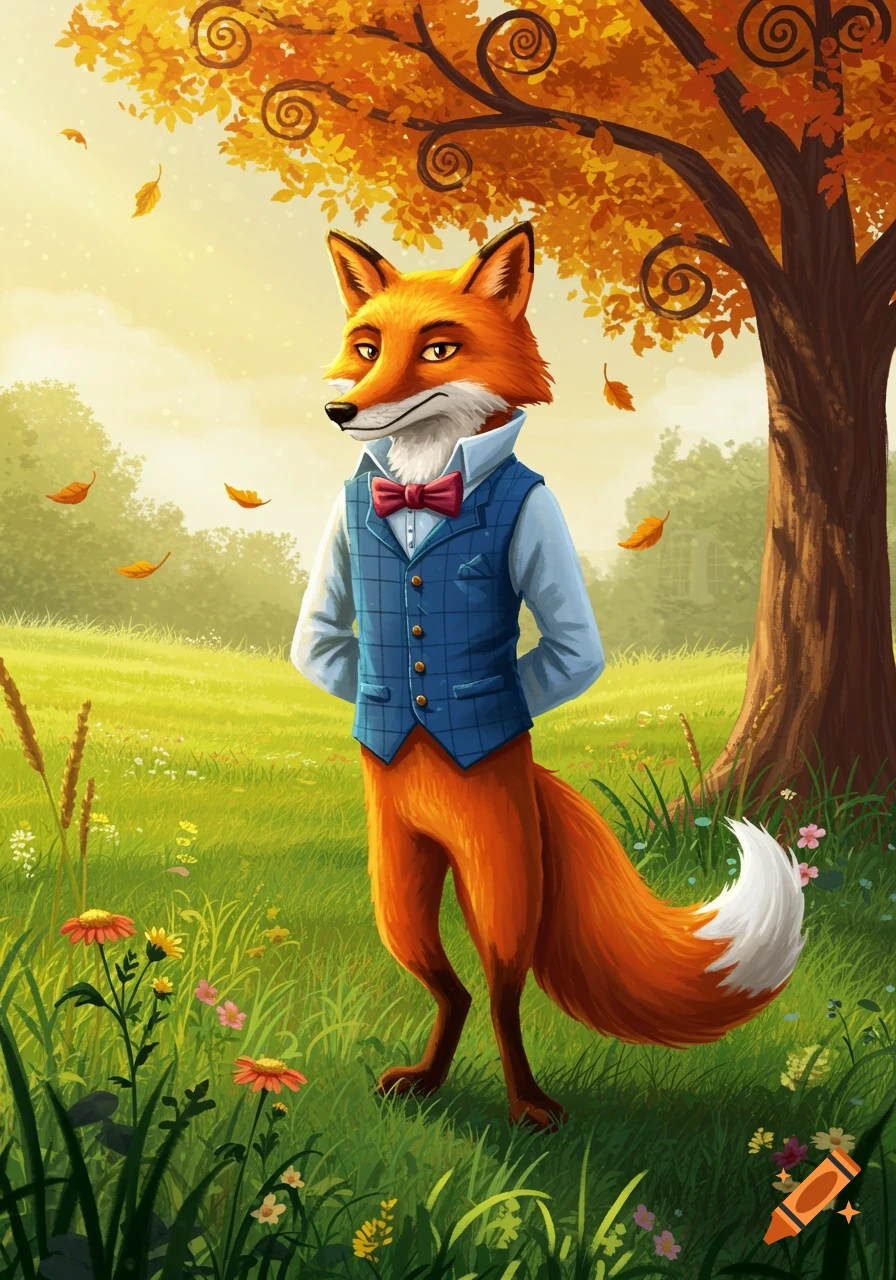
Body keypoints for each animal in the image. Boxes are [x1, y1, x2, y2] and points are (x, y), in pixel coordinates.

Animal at [292, 221, 805, 1131]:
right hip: (398, 890)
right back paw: (426, 1079)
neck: (422, 485)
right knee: (449, 987)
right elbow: (325, 641)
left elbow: (566, 650)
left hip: (498, 883)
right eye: (366, 346)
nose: (340, 412)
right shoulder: (342, 540)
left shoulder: (541, 526)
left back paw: (526, 1101)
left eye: (439, 348)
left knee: (499, 990)